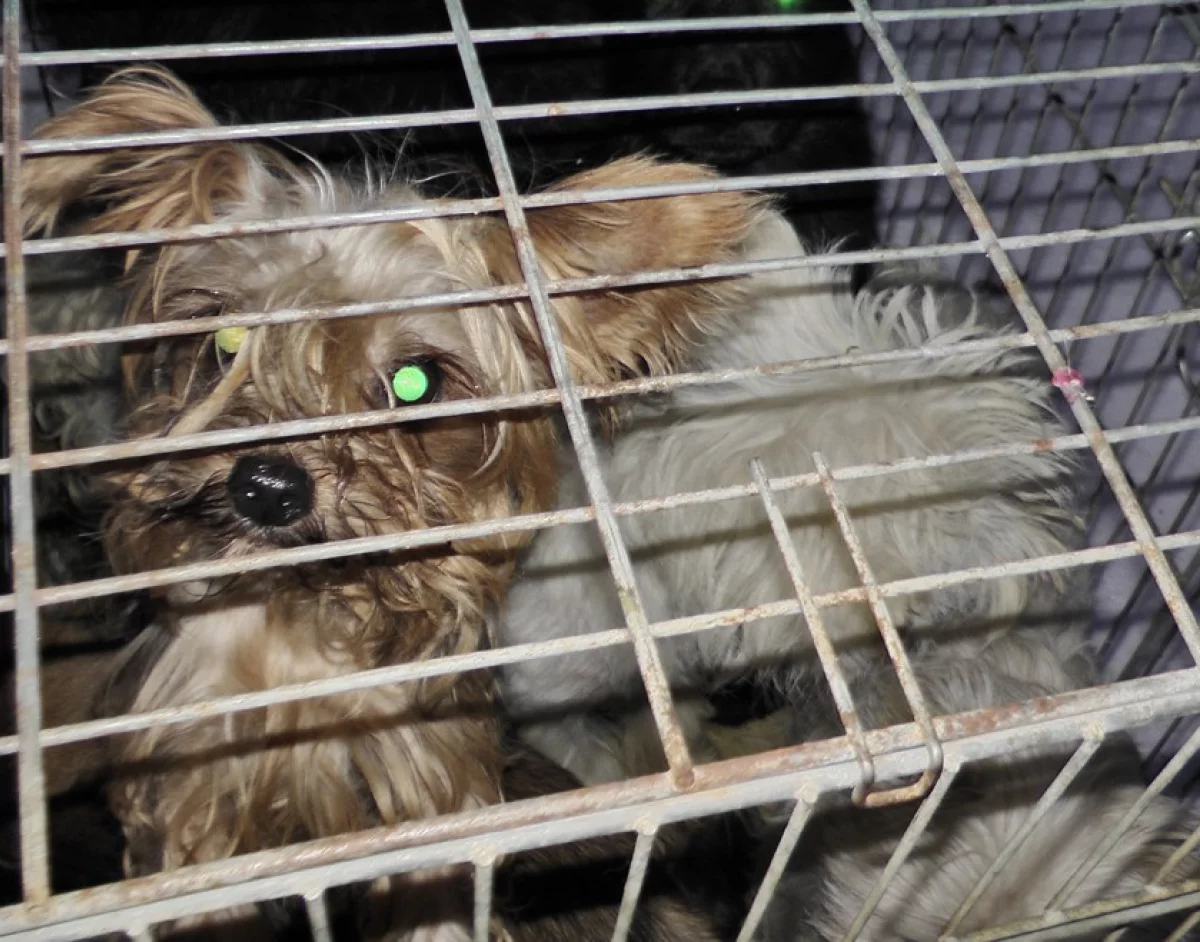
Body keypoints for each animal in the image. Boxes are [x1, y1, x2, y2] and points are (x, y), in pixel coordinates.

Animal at [19, 66, 767, 937]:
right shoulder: (195, 806)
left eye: (414, 382)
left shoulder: (427, 798)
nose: (265, 486)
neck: (302, 622)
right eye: (228, 343)